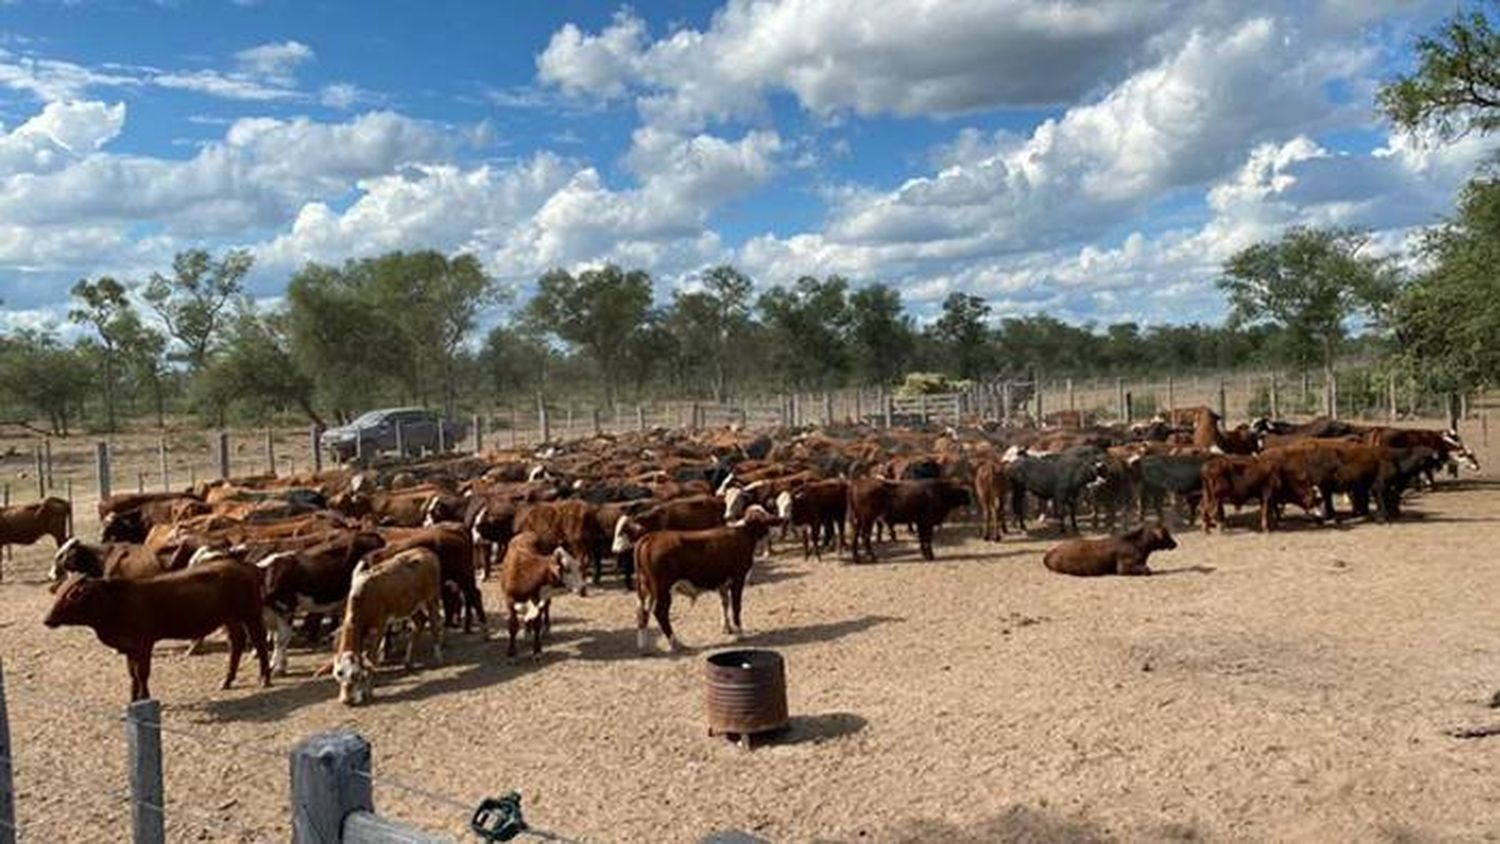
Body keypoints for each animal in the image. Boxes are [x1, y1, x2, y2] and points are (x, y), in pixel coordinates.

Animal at [43, 557, 273, 704]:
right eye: (59, 593)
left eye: (71, 596)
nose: (47, 619)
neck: (115, 602)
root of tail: (246, 565)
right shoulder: (129, 647)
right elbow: (133, 674)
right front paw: (133, 700)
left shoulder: (144, 643)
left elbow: (142, 673)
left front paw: (145, 697)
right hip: (229, 618)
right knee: (236, 642)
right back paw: (226, 680)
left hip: (250, 614)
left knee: (259, 641)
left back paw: (264, 679)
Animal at [330, 548, 441, 707]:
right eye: (339, 673)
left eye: (356, 674)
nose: (347, 700)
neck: (363, 595)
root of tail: (425, 550)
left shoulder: (379, 627)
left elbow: (372, 658)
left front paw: (367, 691)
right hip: (410, 606)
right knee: (419, 622)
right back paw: (407, 662)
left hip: (431, 598)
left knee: (434, 622)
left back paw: (438, 656)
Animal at [1044, 524, 1182, 578]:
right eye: (1165, 534)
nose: (1175, 544)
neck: (1136, 543)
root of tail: (1050, 553)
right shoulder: (1123, 568)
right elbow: (1147, 570)